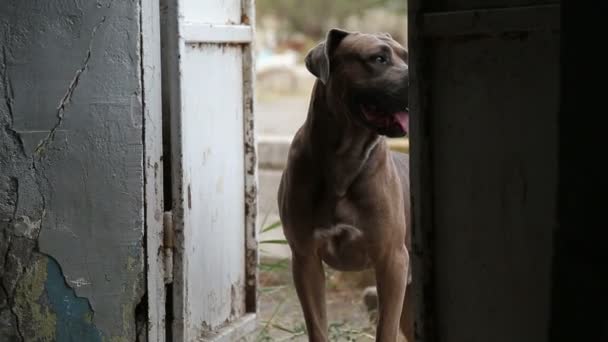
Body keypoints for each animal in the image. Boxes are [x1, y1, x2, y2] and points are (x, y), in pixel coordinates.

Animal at [276, 27, 414, 342]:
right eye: (378, 58)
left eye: (406, 56)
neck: (345, 160)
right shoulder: (305, 259)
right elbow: (317, 325)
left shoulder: (392, 261)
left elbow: (385, 329)